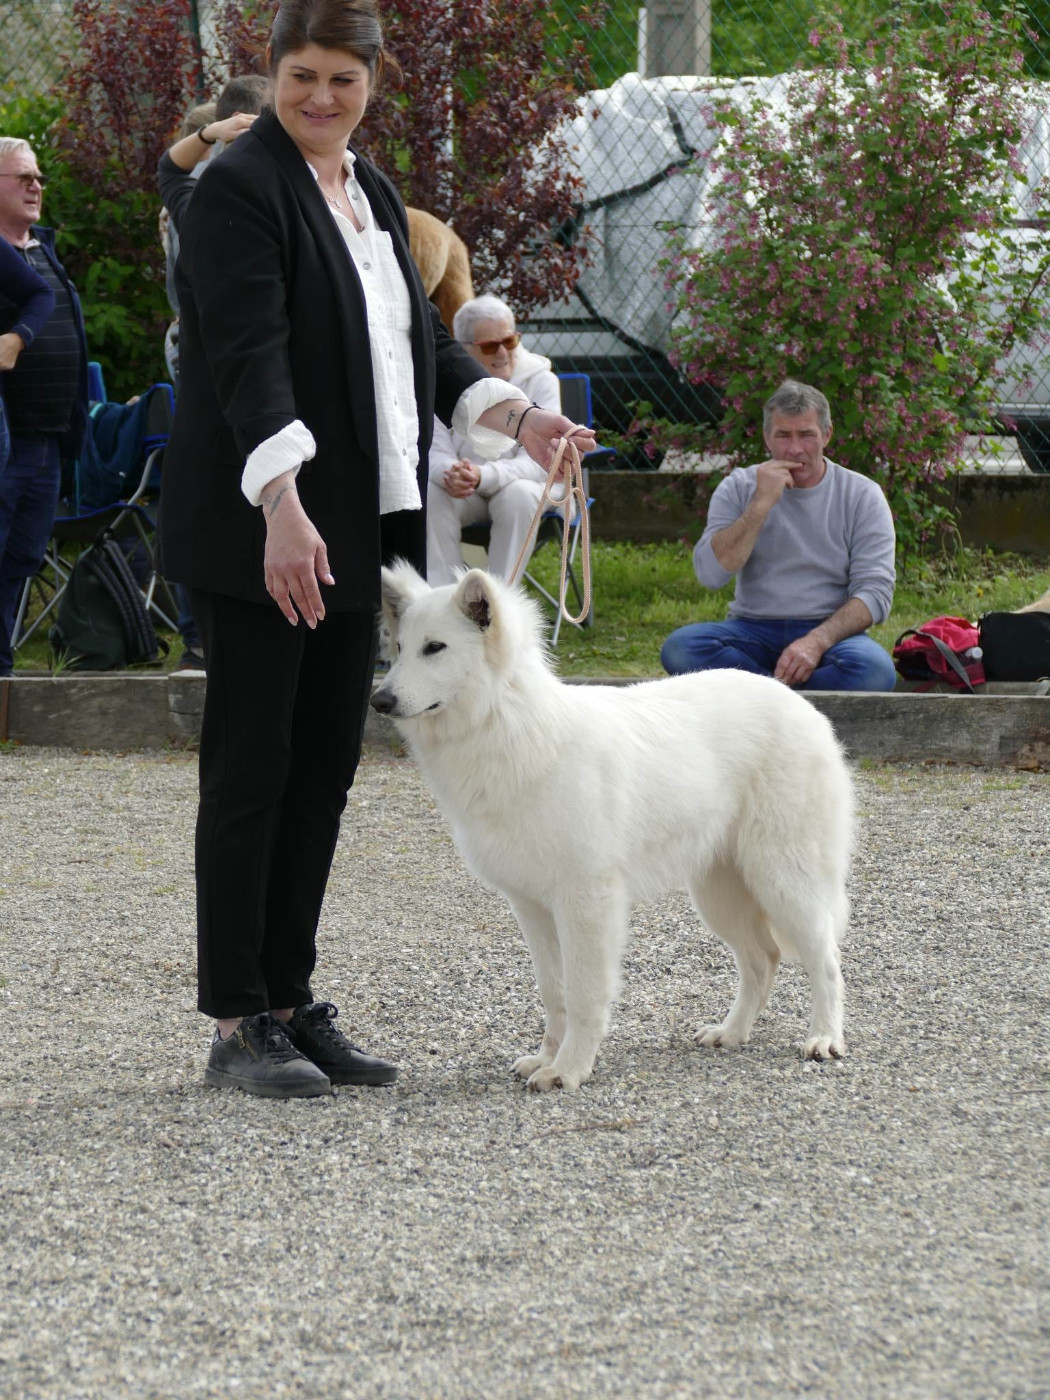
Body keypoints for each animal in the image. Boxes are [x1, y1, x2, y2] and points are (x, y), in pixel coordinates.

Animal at [372, 564, 854, 1092]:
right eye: (399, 649)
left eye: (434, 648)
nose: (379, 700)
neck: (510, 724)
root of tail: (800, 704)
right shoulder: (532, 907)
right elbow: (554, 993)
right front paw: (547, 1059)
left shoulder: (587, 902)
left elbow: (584, 994)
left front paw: (569, 1069)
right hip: (720, 893)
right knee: (762, 959)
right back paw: (730, 1033)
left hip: (783, 880)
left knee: (824, 960)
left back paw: (824, 1038)